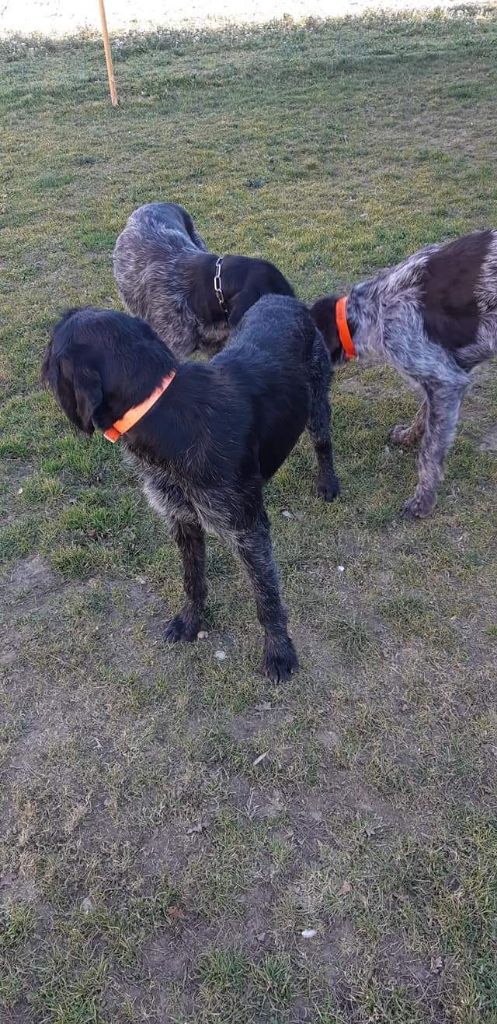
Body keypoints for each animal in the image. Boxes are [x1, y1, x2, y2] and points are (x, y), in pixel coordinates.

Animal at [42, 296, 338, 679]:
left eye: (52, 346)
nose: (42, 366)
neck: (160, 409)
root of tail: (283, 298)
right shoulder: (182, 519)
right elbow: (192, 579)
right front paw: (191, 622)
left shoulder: (248, 531)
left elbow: (266, 597)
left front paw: (278, 651)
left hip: (317, 404)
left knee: (323, 444)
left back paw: (328, 482)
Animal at [309, 233, 495, 520]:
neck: (372, 309)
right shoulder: (449, 372)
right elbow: (425, 415)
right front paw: (408, 436)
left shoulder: (446, 381)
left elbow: (430, 452)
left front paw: (423, 501)